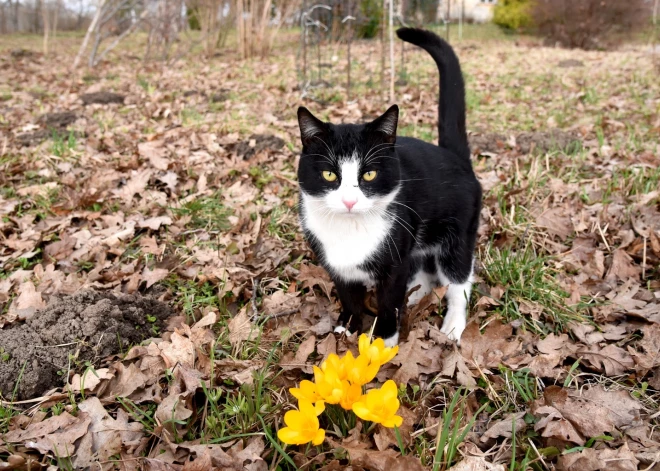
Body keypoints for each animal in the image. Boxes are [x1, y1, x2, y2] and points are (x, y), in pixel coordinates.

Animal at [296, 28, 482, 346]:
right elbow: (348, 296)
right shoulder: (337, 264)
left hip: (458, 232)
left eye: (369, 174)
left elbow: (388, 301)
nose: (349, 201)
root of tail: (454, 156)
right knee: (423, 269)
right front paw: (347, 327)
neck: (350, 232)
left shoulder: (395, 259)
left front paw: (383, 340)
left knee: (458, 280)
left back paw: (453, 325)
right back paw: (416, 296)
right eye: (330, 175)